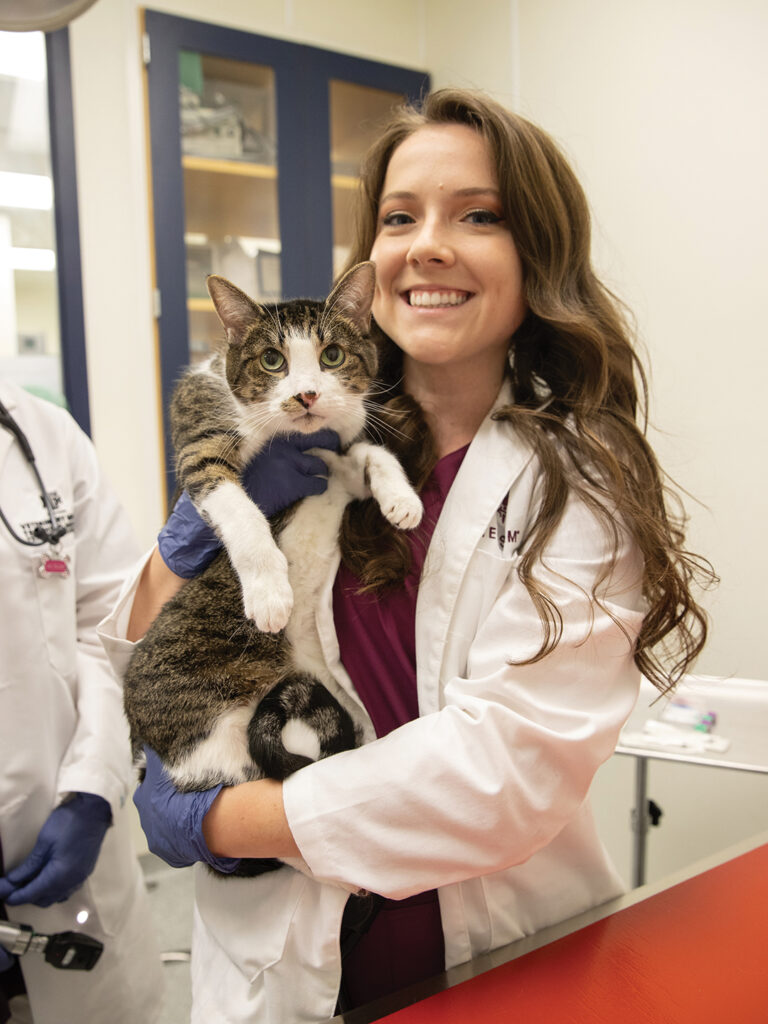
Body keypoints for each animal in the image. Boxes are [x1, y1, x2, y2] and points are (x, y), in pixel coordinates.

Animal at [122, 262, 421, 872]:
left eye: (332, 356)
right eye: (271, 361)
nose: (306, 393)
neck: (296, 442)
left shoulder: (338, 457)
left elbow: (371, 453)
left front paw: (403, 499)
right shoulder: (203, 442)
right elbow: (240, 509)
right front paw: (268, 592)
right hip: (208, 726)